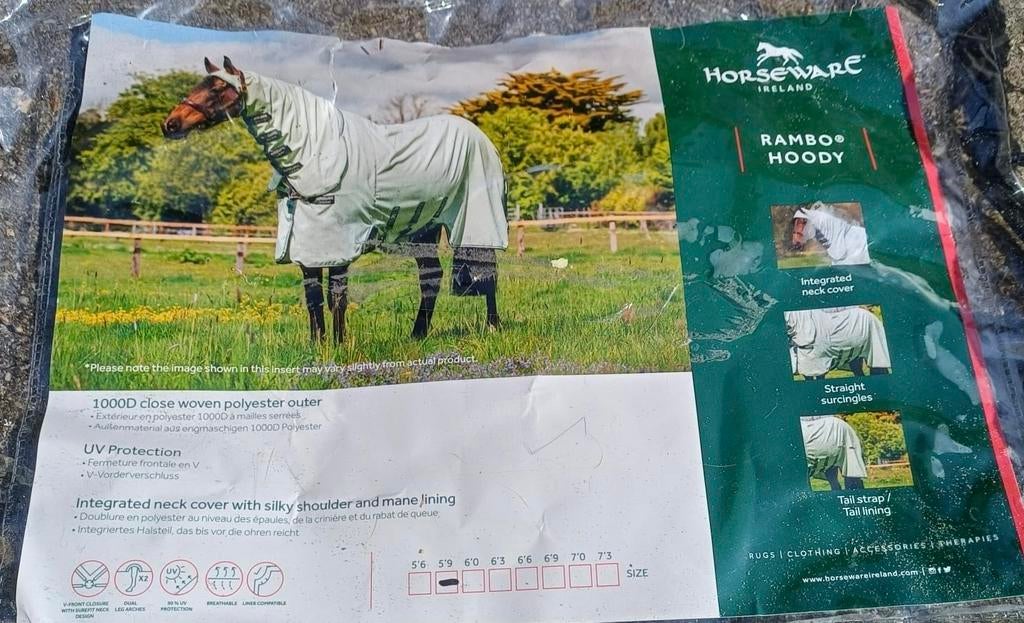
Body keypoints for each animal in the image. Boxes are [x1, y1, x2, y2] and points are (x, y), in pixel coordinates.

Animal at [161, 57, 508, 344]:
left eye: (219, 87)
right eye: (199, 84)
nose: (170, 124)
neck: (316, 152)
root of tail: (482, 138)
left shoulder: (339, 243)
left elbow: (336, 297)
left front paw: (340, 346)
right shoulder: (306, 245)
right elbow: (314, 297)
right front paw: (318, 346)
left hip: (476, 223)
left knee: (487, 274)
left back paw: (493, 327)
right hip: (423, 231)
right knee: (431, 279)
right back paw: (417, 335)